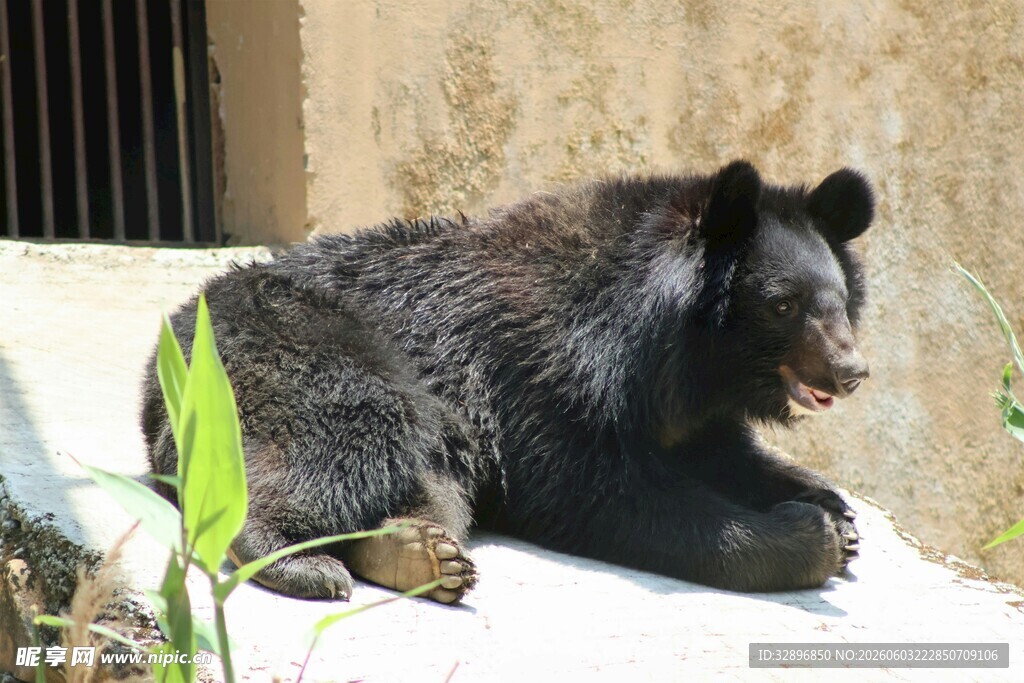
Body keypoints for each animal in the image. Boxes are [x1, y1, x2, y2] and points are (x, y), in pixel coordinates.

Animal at [141, 160, 873, 604]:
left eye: (839, 299)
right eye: (784, 304)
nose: (851, 371)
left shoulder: (686, 411)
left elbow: (726, 454)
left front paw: (835, 509)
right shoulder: (543, 374)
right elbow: (605, 493)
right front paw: (813, 535)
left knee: (431, 484)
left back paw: (417, 552)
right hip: (304, 351)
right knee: (346, 429)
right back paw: (302, 563)